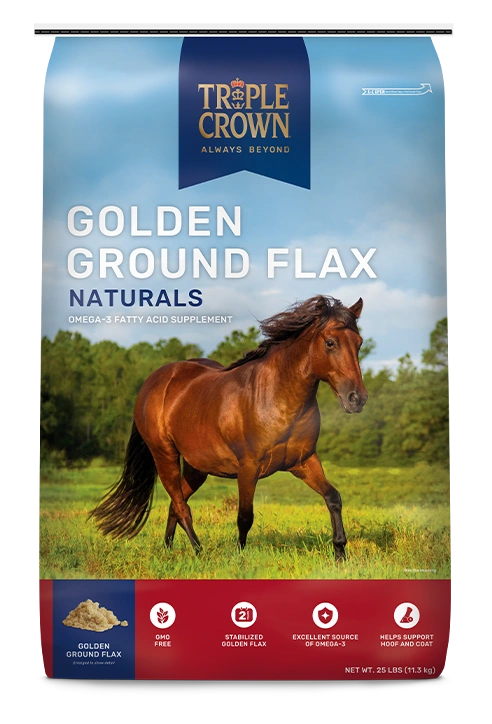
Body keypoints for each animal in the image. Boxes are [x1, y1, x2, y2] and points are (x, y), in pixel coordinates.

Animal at [90, 294, 368, 561]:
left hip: (197, 468)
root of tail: (152, 382)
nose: (357, 399)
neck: (276, 397)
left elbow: (333, 498)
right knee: (181, 506)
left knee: (175, 503)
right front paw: (239, 557)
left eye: (359, 343)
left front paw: (340, 554)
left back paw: (168, 550)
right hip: (164, 455)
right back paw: (199, 552)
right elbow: (245, 517)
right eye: (330, 343)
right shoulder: (248, 468)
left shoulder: (304, 461)